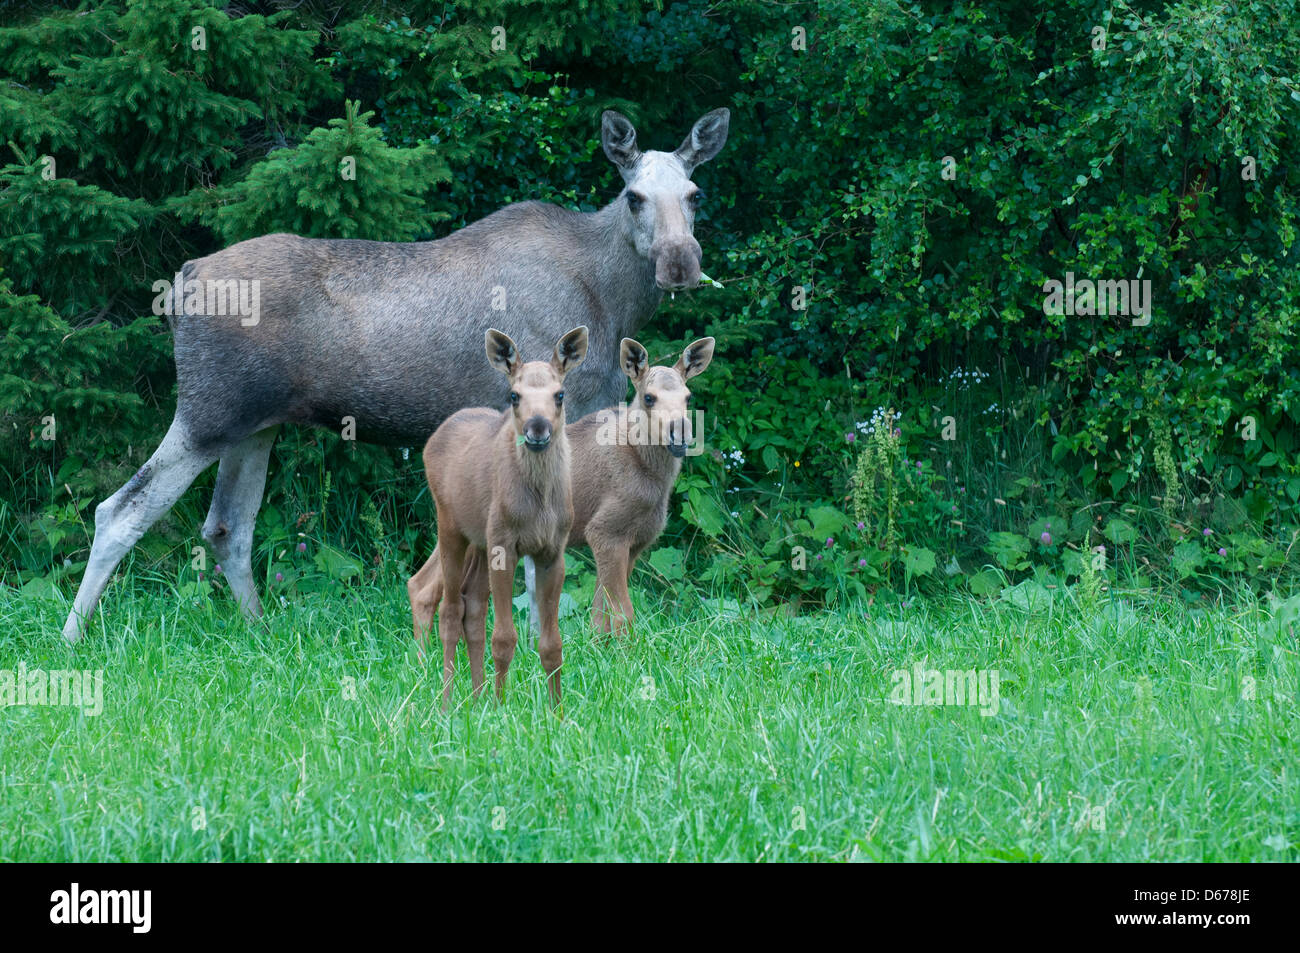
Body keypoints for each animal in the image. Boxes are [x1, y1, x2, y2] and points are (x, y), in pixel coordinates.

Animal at [410, 335, 717, 639]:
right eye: (649, 397)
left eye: (688, 397)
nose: (680, 434)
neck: (654, 476)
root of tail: (429, 446)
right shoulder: (606, 532)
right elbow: (622, 615)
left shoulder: (637, 542)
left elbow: (599, 616)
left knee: (421, 584)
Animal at [416, 327, 590, 707]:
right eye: (514, 395)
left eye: (560, 394)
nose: (537, 428)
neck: (539, 503)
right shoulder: (504, 546)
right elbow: (505, 638)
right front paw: (501, 706)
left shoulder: (553, 552)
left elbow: (552, 644)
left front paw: (556, 710)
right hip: (451, 527)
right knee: (449, 610)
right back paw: (448, 701)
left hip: (480, 541)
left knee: (473, 609)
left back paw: (476, 695)